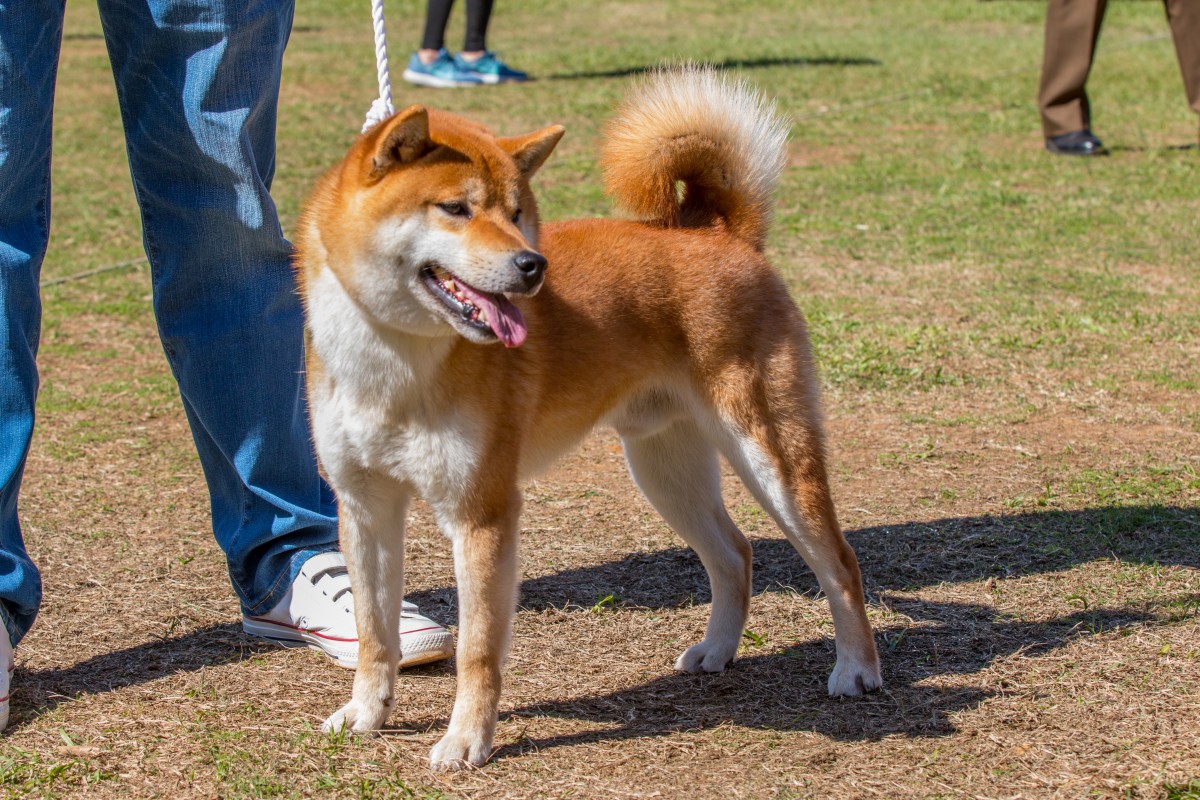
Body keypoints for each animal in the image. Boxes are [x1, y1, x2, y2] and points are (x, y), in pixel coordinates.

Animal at [291, 67, 883, 767]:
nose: (532, 266)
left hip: (771, 458)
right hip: (665, 472)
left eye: (517, 213)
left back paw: (856, 669)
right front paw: (365, 713)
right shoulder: (366, 507)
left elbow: (476, 652)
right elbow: (374, 631)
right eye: (456, 209)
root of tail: (716, 232)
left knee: (839, 563)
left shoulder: (482, 513)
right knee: (734, 554)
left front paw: (466, 740)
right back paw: (717, 650)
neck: (395, 362)